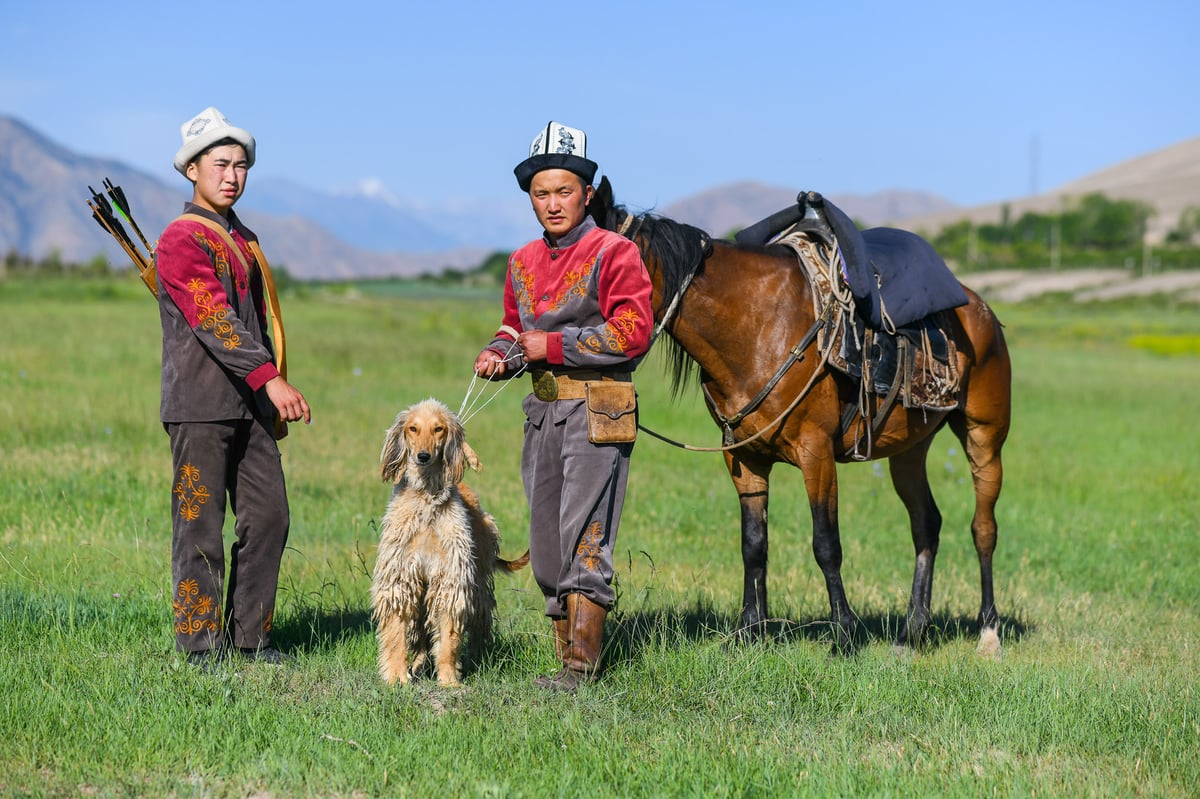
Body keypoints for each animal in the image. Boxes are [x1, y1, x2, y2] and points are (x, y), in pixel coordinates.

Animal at [372, 395, 528, 681]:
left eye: (438, 429)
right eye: (413, 428)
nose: (423, 456)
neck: (427, 499)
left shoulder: (450, 580)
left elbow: (449, 637)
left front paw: (449, 680)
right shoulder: (401, 576)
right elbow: (396, 634)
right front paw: (397, 676)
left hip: (478, 582)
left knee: (479, 623)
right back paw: (418, 665)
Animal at [590, 177, 1012, 652]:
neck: (756, 327)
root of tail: (979, 309)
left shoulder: (817, 453)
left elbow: (826, 543)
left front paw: (843, 634)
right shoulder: (743, 458)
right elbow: (753, 544)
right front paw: (750, 630)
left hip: (984, 436)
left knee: (983, 527)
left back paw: (989, 632)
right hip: (910, 449)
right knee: (926, 524)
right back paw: (911, 631)